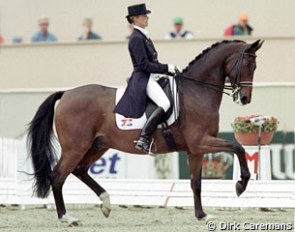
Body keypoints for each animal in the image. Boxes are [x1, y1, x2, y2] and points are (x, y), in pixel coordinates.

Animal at [27, 39, 264, 226]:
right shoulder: (200, 142)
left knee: (80, 170)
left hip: (97, 145)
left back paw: (106, 203)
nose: (245, 98)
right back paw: (67, 218)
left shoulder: (195, 150)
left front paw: (202, 215)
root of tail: (66, 94)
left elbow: (196, 183)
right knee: (58, 176)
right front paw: (241, 184)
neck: (197, 92)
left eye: (255, 66)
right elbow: (238, 147)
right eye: (247, 64)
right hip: (76, 147)